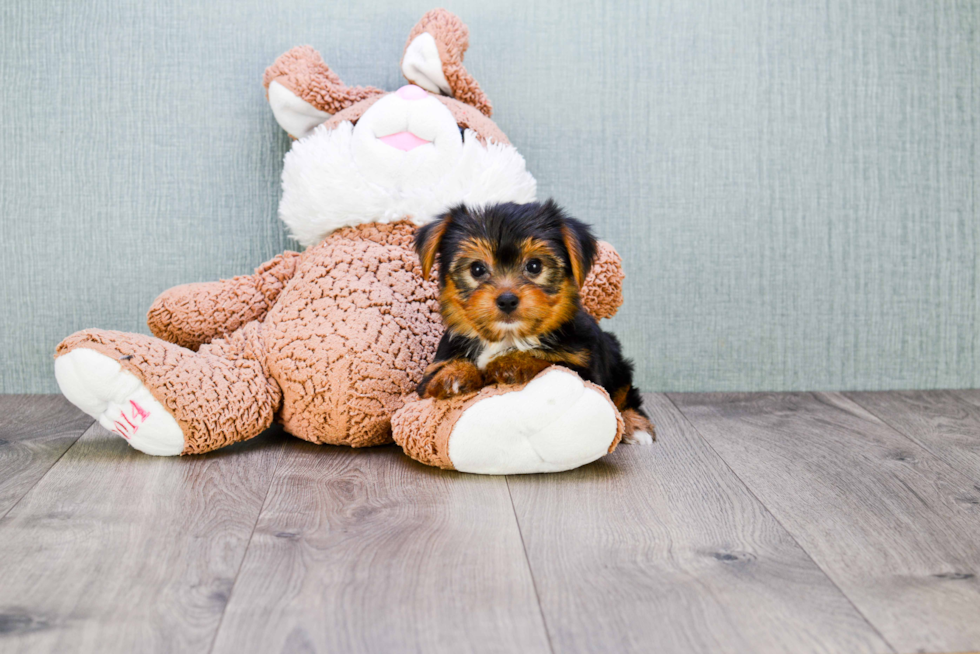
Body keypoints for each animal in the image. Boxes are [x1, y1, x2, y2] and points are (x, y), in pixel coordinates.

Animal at [414, 200, 660, 446]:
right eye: (476, 269)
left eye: (534, 266)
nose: (507, 299)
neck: (508, 338)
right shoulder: (427, 378)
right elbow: (436, 377)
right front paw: (453, 375)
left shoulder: (584, 368)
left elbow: (548, 361)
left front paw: (512, 362)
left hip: (615, 361)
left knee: (626, 393)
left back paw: (637, 426)